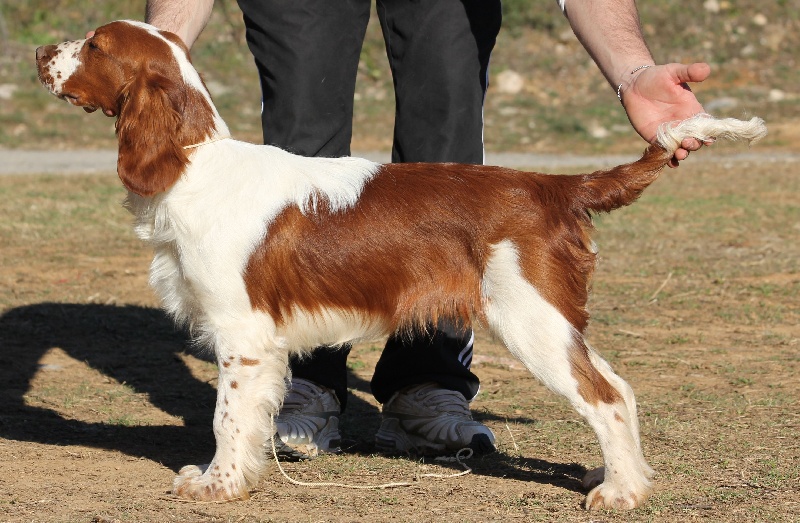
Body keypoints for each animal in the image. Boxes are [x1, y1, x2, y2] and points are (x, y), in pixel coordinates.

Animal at [37, 20, 768, 508]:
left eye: (95, 46)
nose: (41, 52)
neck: (192, 162)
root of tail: (554, 186)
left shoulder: (241, 336)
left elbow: (227, 418)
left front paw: (215, 486)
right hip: (551, 320)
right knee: (619, 386)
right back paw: (626, 480)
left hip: (531, 320)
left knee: (606, 395)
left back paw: (617, 493)